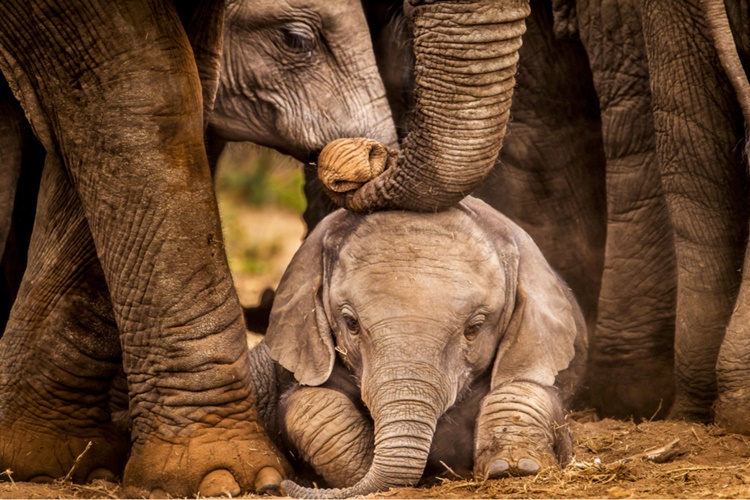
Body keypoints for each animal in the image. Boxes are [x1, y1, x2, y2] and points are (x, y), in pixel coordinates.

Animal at [250, 197, 592, 498]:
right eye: (351, 323)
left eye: (474, 328)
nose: (279, 489)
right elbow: (310, 402)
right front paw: (359, 468)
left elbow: (525, 388)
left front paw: (514, 468)